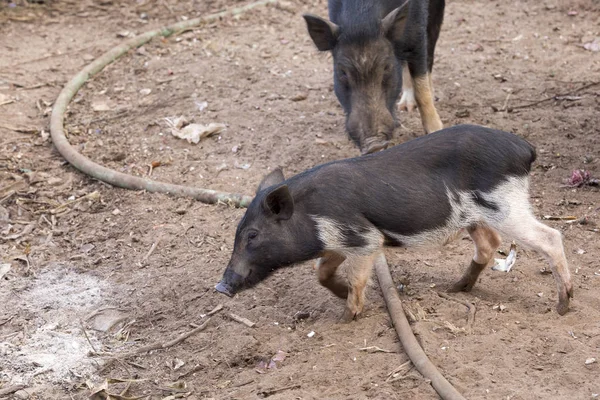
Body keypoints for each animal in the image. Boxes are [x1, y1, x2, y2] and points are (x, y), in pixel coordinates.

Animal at [216, 126, 572, 320]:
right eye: (237, 232)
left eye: (252, 235)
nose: (221, 286)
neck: (311, 215)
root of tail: (525, 149)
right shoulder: (338, 243)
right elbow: (322, 273)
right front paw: (342, 296)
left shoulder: (364, 239)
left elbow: (357, 278)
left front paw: (346, 318)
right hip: (478, 214)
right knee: (490, 244)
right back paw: (455, 288)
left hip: (507, 206)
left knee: (551, 236)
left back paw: (563, 306)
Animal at [304, 0, 446, 154]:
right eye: (342, 72)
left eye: (386, 67)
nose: (374, 145)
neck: (361, 21)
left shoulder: (417, 32)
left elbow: (421, 85)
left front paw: (436, 130)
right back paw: (404, 107)